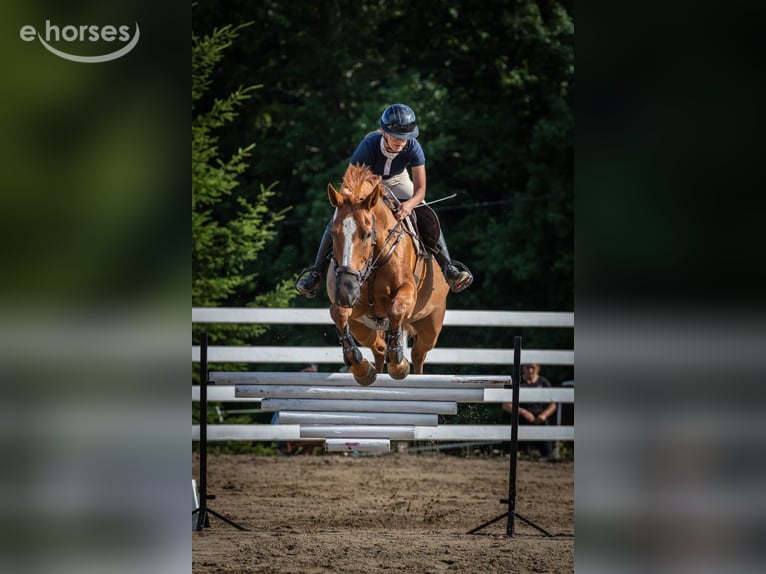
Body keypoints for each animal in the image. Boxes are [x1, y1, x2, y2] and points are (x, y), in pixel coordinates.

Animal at [325, 163, 450, 386]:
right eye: (333, 234)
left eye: (367, 234)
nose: (346, 292)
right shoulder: (356, 305)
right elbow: (338, 313)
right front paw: (361, 368)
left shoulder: (407, 291)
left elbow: (396, 309)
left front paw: (398, 365)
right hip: (361, 326)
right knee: (378, 346)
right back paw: (368, 369)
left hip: (431, 323)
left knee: (419, 352)